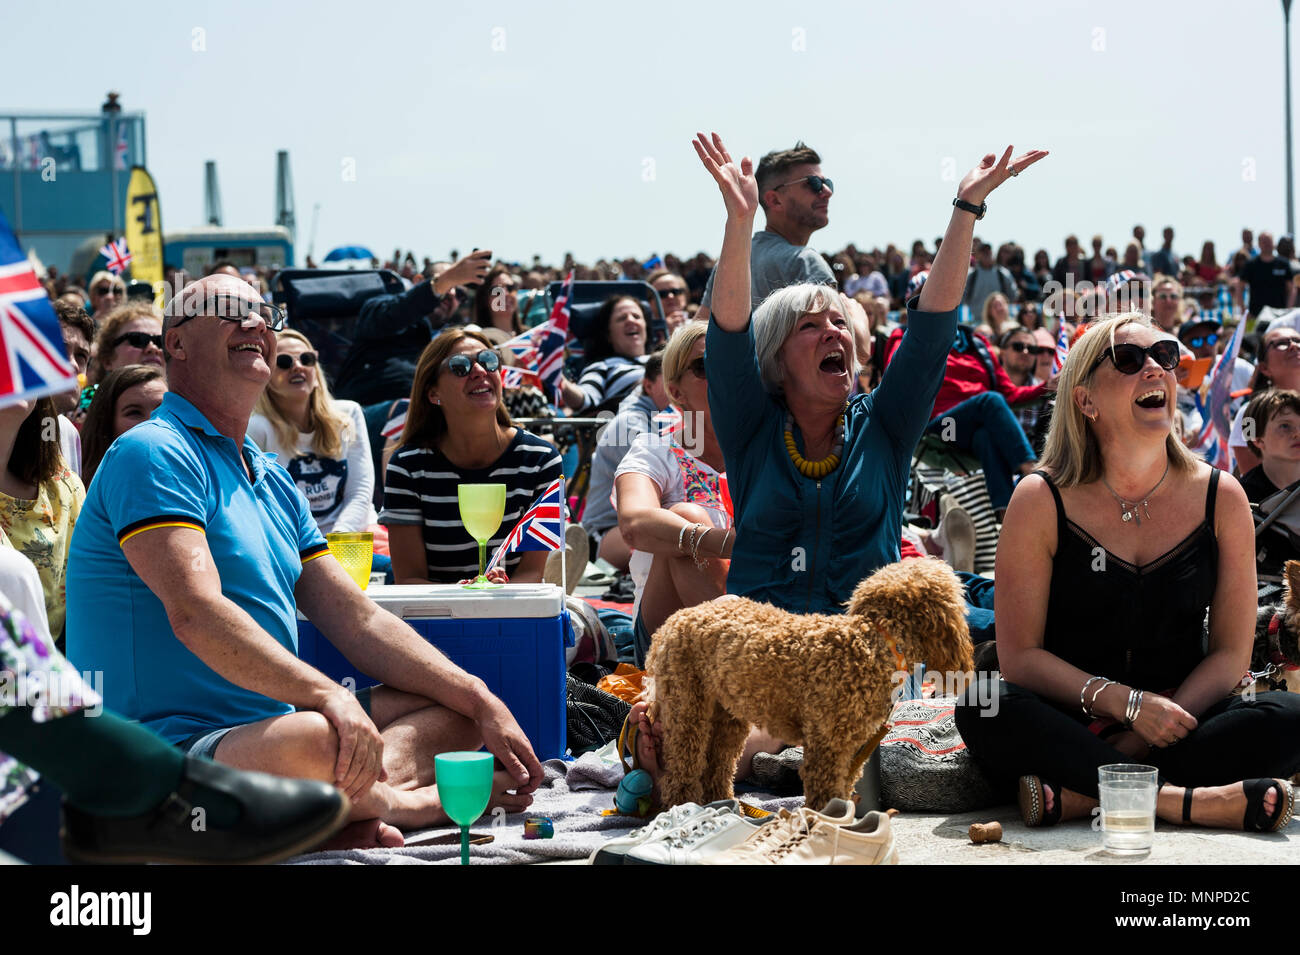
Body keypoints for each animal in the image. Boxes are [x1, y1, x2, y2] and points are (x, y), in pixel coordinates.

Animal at [644, 556, 972, 810]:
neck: (873, 639)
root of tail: (674, 620)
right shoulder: (826, 747)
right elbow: (825, 798)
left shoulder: (850, 751)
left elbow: (841, 793)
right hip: (687, 707)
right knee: (683, 766)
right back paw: (683, 804)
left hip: (728, 715)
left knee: (718, 765)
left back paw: (722, 803)